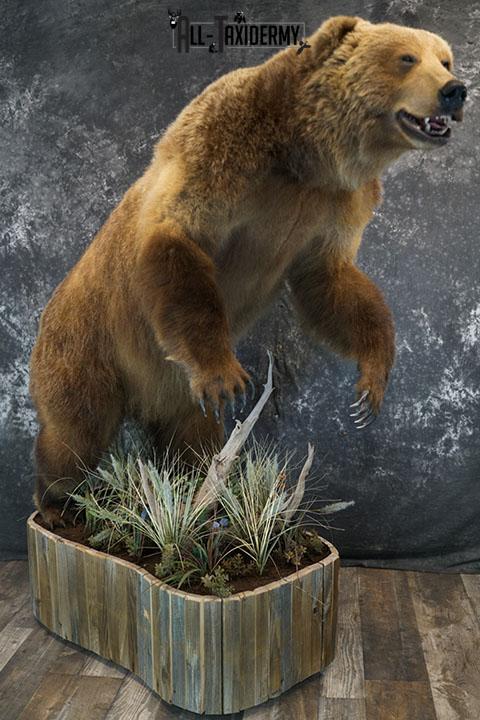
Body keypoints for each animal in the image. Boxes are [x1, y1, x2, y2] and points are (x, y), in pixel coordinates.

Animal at [30, 16, 467, 527]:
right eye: (406, 58)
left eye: (444, 59)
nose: (455, 90)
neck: (306, 156)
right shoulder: (224, 145)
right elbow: (179, 238)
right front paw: (228, 377)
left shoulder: (340, 206)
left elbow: (333, 283)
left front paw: (370, 387)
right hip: (89, 346)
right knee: (75, 431)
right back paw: (58, 503)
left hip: (176, 390)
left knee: (194, 437)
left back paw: (198, 491)